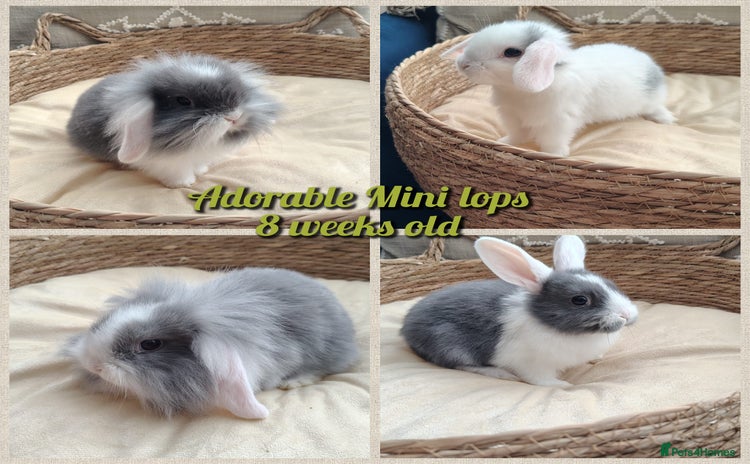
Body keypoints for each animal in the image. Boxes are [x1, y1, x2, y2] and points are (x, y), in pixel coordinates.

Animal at [66, 53, 281, 187]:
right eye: (183, 101)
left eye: (239, 91)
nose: (234, 116)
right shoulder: (170, 164)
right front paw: (183, 184)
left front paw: (201, 171)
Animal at [401, 236, 638, 387]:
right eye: (580, 300)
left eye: (611, 284)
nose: (628, 315)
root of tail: (406, 326)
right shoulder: (533, 364)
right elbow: (541, 380)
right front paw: (564, 385)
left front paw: (596, 358)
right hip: (450, 344)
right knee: (460, 365)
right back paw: (501, 373)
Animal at [442, 20, 675, 156]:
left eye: (511, 52)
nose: (463, 64)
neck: (518, 91)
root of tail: (652, 65)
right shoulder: (513, 118)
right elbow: (516, 135)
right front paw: (504, 142)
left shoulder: (557, 123)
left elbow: (552, 142)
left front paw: (553, 156)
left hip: (651, 100)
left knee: (656, 107)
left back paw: (665, 119)